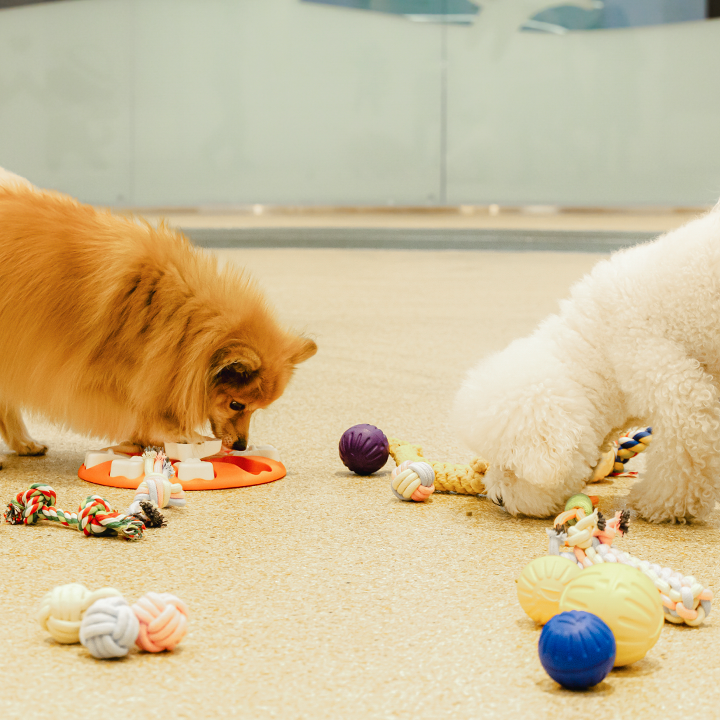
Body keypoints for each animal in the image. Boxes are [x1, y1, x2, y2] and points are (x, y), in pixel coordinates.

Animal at [0, 177, 318, 464]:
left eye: (255, 409)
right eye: (236, 404)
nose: (241, 445)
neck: (165, 308)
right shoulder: (85, 378)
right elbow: (139, 411)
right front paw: (184, 434)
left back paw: (24, 444)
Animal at [452, 202, 720, 524]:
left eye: (511, 466)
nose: (498, 499)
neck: (599, 350)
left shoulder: (679, 394)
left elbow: (682, 464)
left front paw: (661, 504)